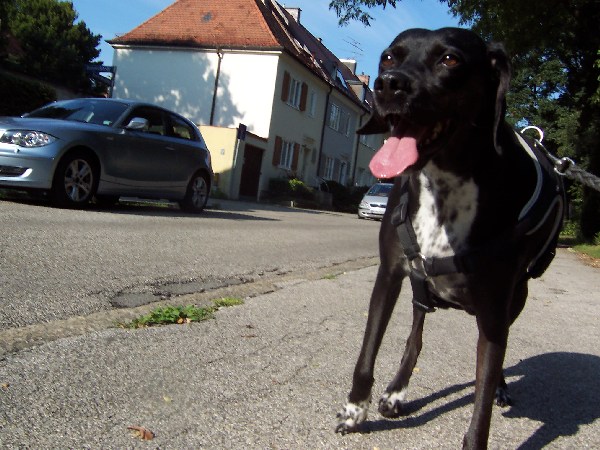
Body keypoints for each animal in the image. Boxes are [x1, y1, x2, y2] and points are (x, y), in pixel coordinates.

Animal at [336, 28, 564, 450]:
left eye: (450, 60)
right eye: (389, 57)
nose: (387, 85)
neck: (446, 185)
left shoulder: (494, 304)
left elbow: (483, 397)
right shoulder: (390, 274)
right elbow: (368, 352)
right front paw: (355, 410)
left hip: (516, 297)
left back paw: (501, 385)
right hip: (420, 289)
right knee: (415, 338)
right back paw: (396, 391)